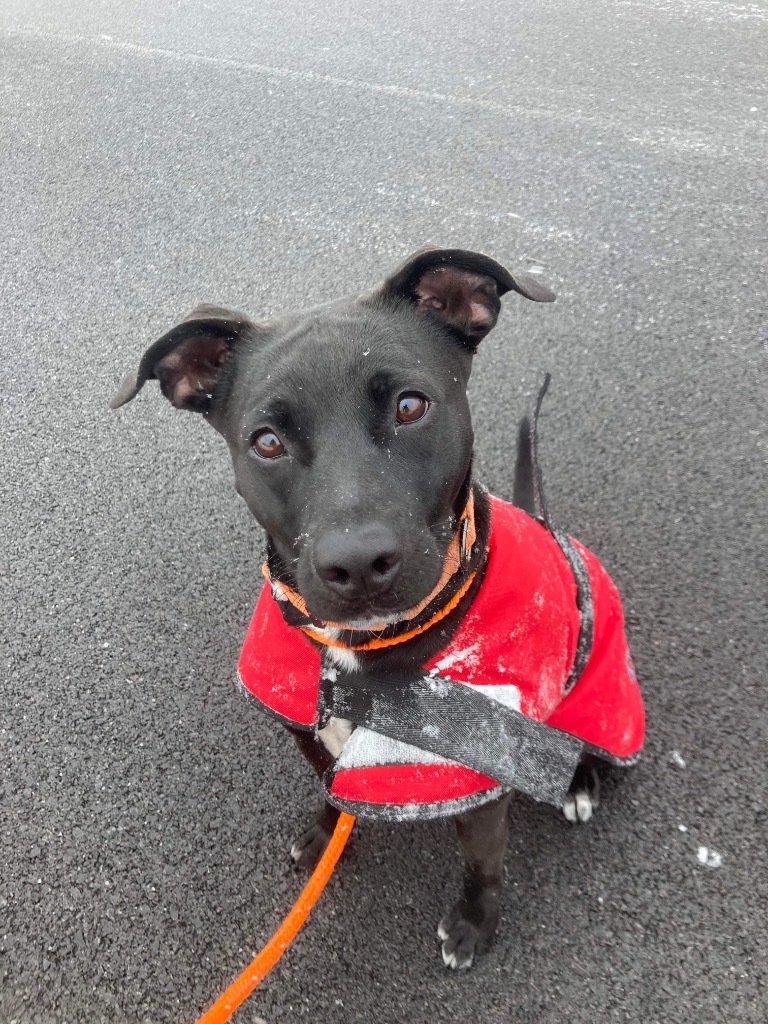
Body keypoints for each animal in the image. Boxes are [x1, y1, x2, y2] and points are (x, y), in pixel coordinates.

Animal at [114, 247, 643, 966]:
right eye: (266, 441)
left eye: (410, 406)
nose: (358, 564)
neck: (361, 653)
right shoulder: (310, 734)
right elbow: (332, 793)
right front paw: (326, 838)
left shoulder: (479, 779)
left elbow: (484, 862)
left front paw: (474, 922)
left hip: (603, 689)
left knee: (590, 740)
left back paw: (581, 781)